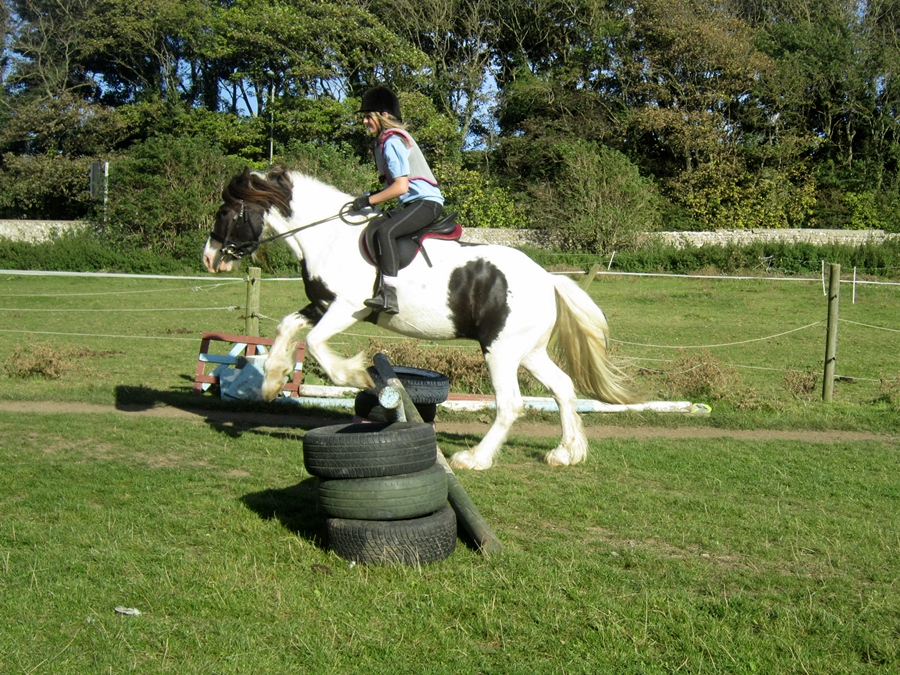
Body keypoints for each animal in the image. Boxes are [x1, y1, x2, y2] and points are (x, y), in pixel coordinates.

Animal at [202, 166, 639, 470]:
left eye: (224, 211)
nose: (209, 258)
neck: (327, 239)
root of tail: (548, 279)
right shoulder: (323, 305)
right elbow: (287, 327)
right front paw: (272, 381)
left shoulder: (347, 307)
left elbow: (314, 345)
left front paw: (362, 378)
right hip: (527, 351)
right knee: (563, 388)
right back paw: (566, 453)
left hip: (500, 351)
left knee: (511, 404)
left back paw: (475, 459)